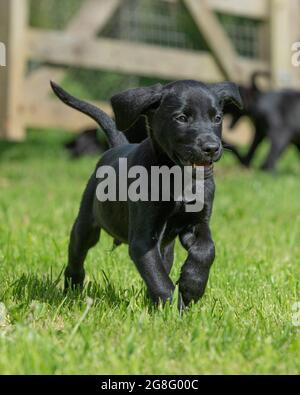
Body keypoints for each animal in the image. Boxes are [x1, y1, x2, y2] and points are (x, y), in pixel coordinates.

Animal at [49, 79, 241, 310]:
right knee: (77, 254)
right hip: (86, 224)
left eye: (218, 118)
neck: (178, 178)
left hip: (166, 247)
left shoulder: (197, 222)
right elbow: (160, 281)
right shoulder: (143, 239)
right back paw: (72, 286)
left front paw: (191, 285)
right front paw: (175, 311)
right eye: (181, 118)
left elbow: (207, 249)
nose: (212, 148)